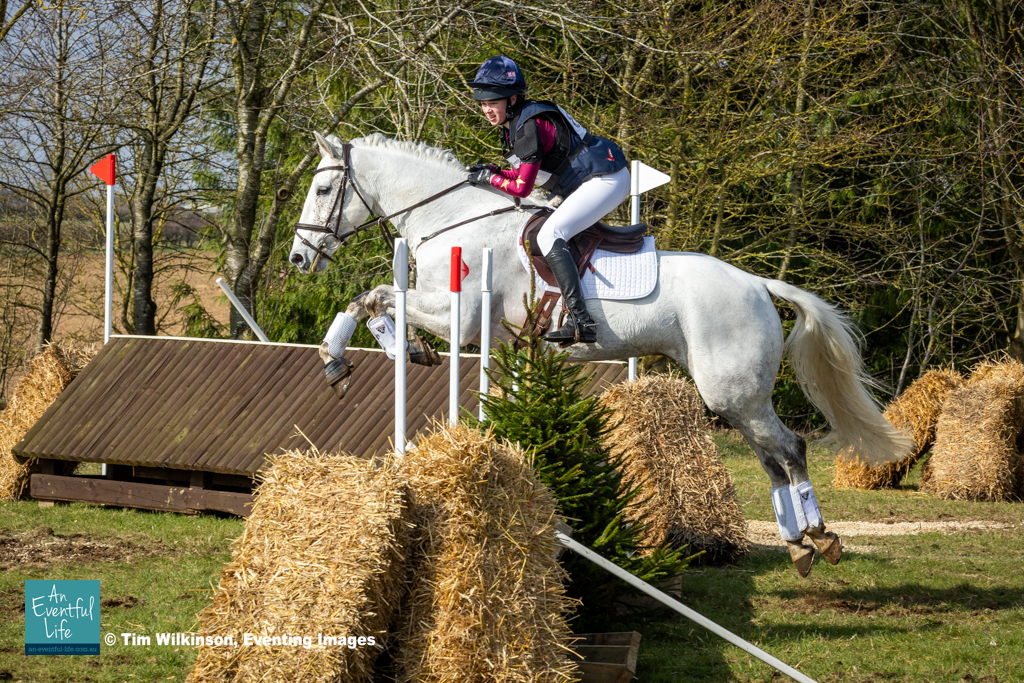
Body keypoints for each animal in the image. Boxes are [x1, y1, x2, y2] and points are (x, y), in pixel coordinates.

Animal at [289, 131, 911, 577]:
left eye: (321, 191)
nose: (297, 259)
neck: (451, 218)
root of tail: (758, 283)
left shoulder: (458, 316)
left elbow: (374, 296)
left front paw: (347, 356)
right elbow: (372, 299)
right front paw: (380, 351)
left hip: (731, 389)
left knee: (790, 448)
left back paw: (820, 537)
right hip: (736, 395)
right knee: (771, 456)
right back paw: (797, 544)